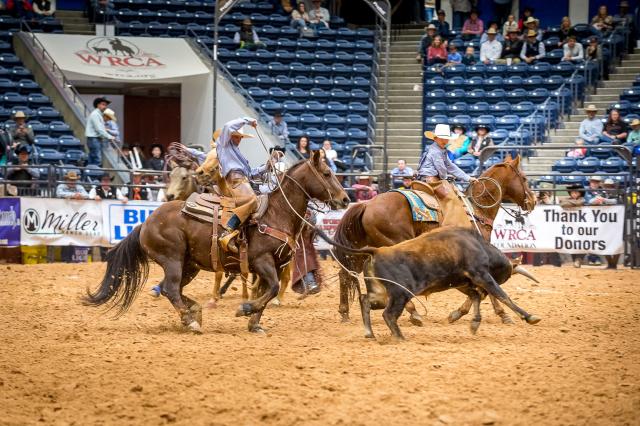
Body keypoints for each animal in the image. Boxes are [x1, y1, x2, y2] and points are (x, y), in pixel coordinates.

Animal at [85, 151, 350, 334]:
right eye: (327, 174)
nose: (345, 199)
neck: (276, 213)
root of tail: (145, 223)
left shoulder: (274, 264)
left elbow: (266, 291)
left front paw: (254, 323)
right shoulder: (262, 262)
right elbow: (271, 288)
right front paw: (245, 309)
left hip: (189, 265)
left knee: (175, 290)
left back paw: (194, 313)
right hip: (172, 259)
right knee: (171, 289)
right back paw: (191, 321)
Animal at [332, 156, 536, 326]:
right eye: (524, 178)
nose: (533, 201)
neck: (477, 210)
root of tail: (366, 204)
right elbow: (487, 288)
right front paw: (501, 314)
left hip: (361, 249)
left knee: (345, 274)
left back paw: (344, 313)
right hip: (392, 244)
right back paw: (414, 313)